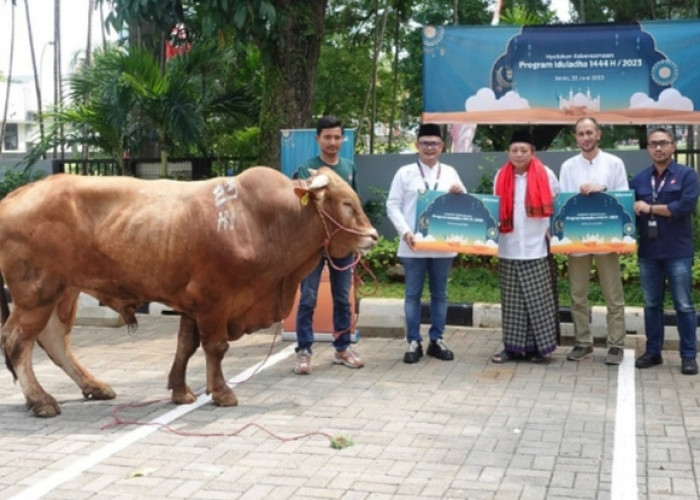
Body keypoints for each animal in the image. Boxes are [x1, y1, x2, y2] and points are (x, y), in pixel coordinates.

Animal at [0, 166, 378, 416]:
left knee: (53, 340)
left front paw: (181, 391)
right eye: (346, 204)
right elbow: (215, 347)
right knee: (18, 341)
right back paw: (41, 400)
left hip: (63, 292)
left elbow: (186, 346)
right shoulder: (213, 300)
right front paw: (221, 392)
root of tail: (16, 195)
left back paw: (93, 386)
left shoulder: (191, 304)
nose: (373, 235)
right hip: (36, 293)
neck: (257, 220)